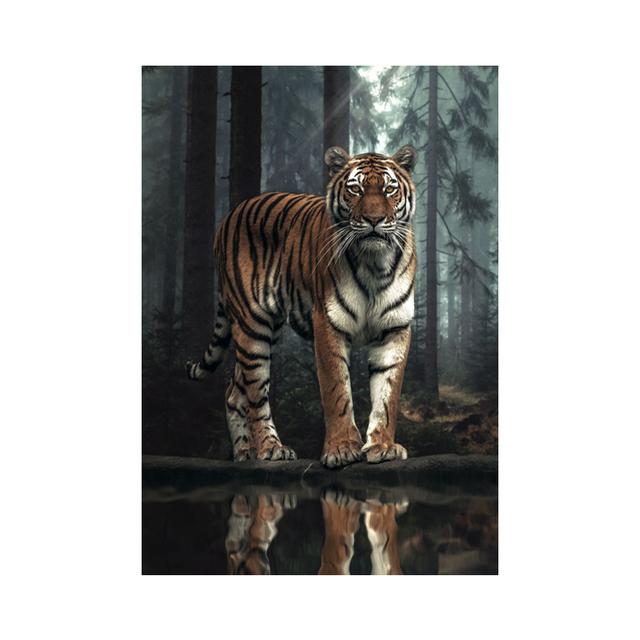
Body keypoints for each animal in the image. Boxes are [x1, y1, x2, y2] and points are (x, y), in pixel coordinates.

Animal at [185, 144, 418, 469]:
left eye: (389, 189)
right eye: (355, 189)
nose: (374, 219)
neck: (375, 263)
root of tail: (230, 214)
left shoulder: (395, 328)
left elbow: (388, 394)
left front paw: (382, 447)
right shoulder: (328, 323)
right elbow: (336, 391)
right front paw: (342, 449)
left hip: (266, 328)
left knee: (234, 391)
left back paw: (243, 455)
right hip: (252, 327)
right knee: (255, 394)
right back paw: (270, 449)